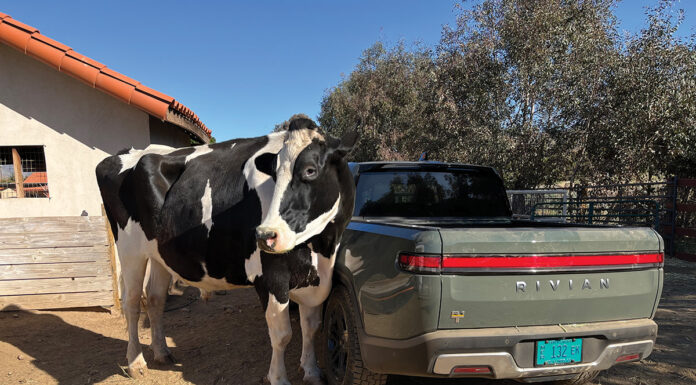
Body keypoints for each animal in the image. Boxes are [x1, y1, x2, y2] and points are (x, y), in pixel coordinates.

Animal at [95, 116, 356, 384]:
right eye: (274, 173)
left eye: (310, 170)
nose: (265, 235)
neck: (322, 246)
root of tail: (127, 153)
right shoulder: (271, 277)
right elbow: (282, 334)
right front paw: (279, 378)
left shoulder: (316, 277)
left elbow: (311, 326)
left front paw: (312, 371)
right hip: (130, 250)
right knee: (132, 302)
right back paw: (136, 362)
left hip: (159, 253)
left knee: (155, 298)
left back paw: (162, 353)